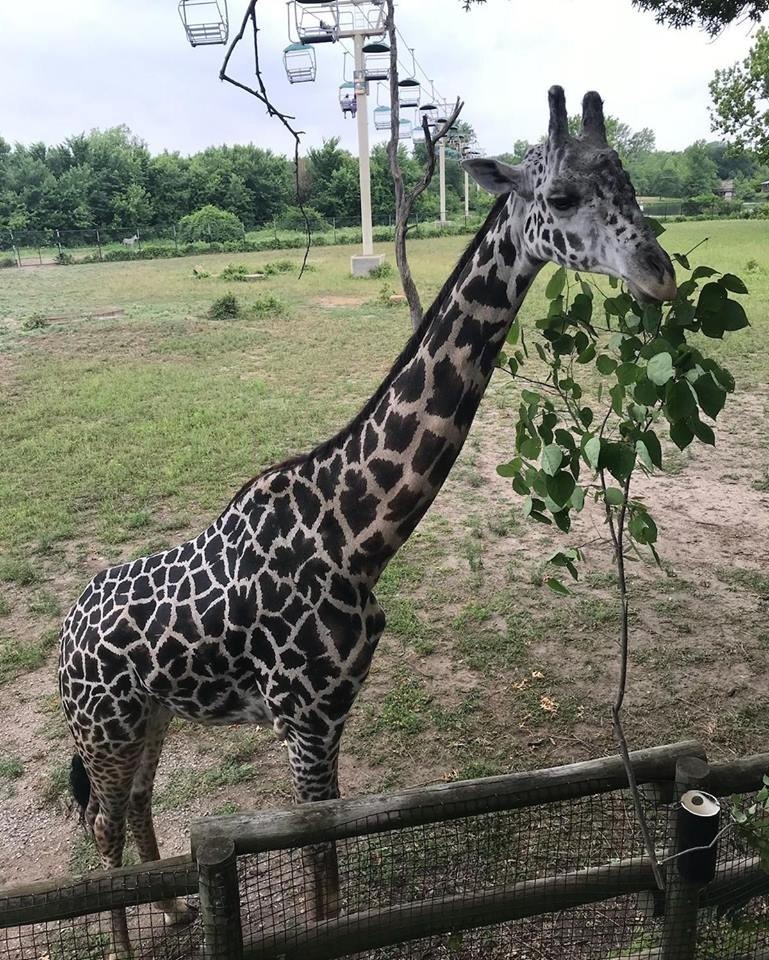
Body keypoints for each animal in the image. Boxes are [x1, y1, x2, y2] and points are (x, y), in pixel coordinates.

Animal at [58, 86, 672, 956]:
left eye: (627, 182)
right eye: (557, 197)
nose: (659, 275)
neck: (353, 536)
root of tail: (64, 634)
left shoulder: (333, 716)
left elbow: (333, 868)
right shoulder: (303, 721)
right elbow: (320, 879)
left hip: (152, 716)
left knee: (137, 804)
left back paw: (176, 910)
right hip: (102, 725)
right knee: (102, 823)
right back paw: (125, 937)